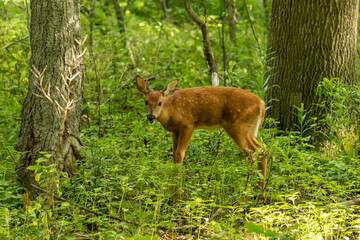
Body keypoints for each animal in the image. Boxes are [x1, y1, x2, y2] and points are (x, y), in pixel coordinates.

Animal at [135, 75, 268, 195]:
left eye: (160, 102)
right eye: (146, 101)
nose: (151, 117)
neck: (171, 111)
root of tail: (262, 104)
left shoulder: (188, 124)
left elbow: (179, 153)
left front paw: (177, 190)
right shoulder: (175, 130)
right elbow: (174, 155)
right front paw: (173, 186)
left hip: (238, 126)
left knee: (252, 154)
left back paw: (246, 191)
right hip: (248, 129)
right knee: (262, 150)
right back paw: (259, 192)